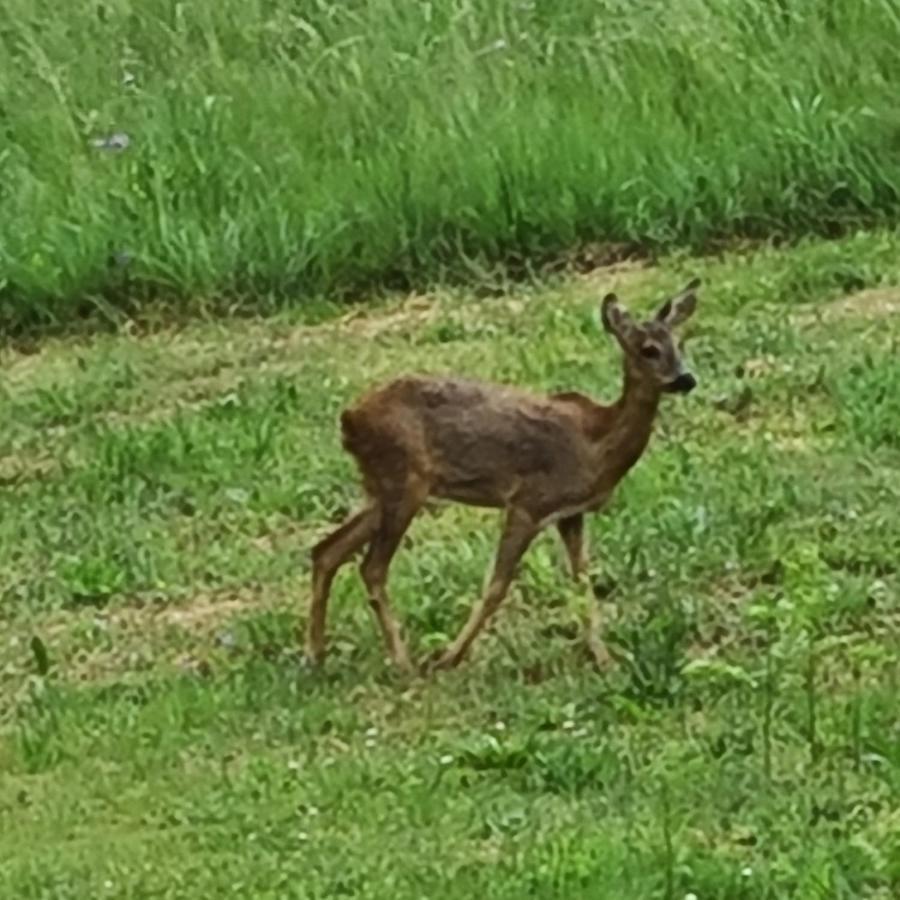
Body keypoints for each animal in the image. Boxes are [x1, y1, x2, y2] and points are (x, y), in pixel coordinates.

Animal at [306, 278, 700, 672]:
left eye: (680, 343)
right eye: (649, 350)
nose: (686, 379)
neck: (596, 442)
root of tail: (348, 419)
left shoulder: (570, 513)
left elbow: (582, 582)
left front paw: (605, 660)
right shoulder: (528, 501)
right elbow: (497, 586)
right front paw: (449, 657)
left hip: (380, 489)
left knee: (325, 550)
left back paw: (316, 655)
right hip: (405, 482)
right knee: (371, 568)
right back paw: (403, 663)